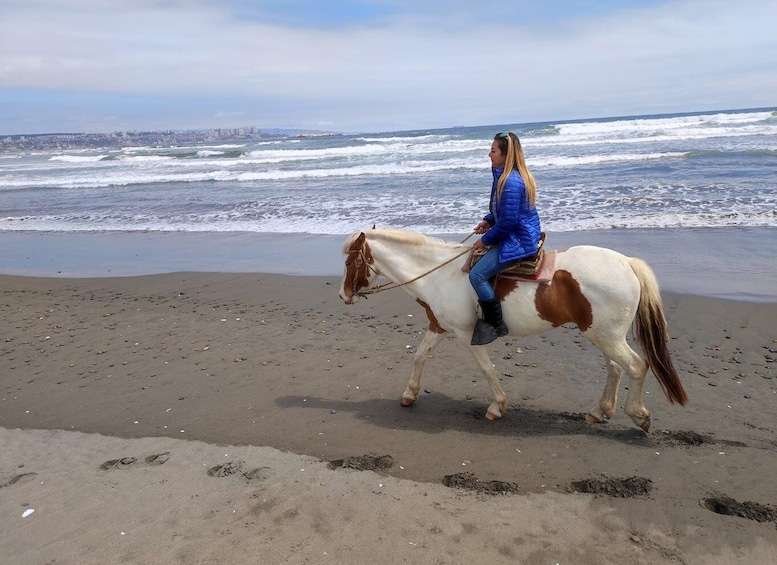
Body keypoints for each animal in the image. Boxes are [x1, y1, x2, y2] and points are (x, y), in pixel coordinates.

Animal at [336, 227, 688, 430]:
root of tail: (627, 262)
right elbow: (419, 356)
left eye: (349, 262)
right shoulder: (439, 327)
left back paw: (637, 414)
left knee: (636, 366)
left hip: (606, 335)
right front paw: (409, 394)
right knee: (615, 368)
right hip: (603, 334)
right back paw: (600, 411)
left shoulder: (466, 334)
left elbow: (487, 369)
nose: (343, 295)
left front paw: (497, 406)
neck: (438, 274)